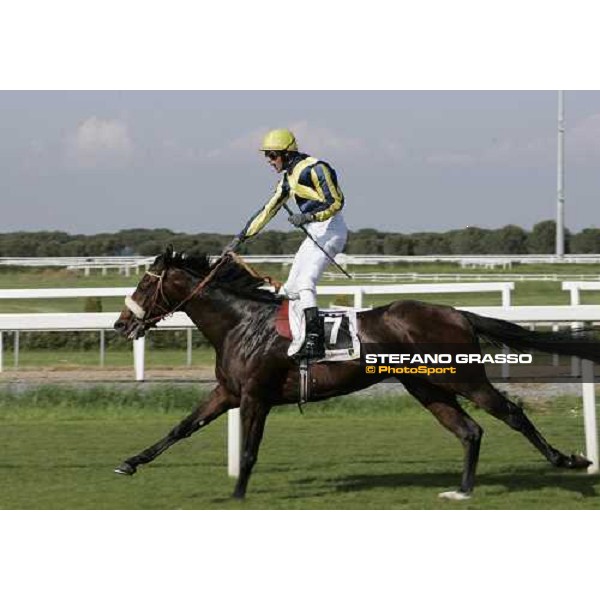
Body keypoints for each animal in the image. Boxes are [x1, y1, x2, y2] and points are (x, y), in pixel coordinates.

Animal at [112, 248, 596, 502]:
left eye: (145, 284)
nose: (121, 324)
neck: (241, 323)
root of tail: (457, 312)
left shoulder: (255, 396)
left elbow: (248, 451)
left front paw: (236, 496)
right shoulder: (228, 392)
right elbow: (181, 428)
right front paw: (129, 462)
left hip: (463, 378)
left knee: (511, 413)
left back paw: (568, 460)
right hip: (426, 386)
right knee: (469, 430)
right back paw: (461, 490)